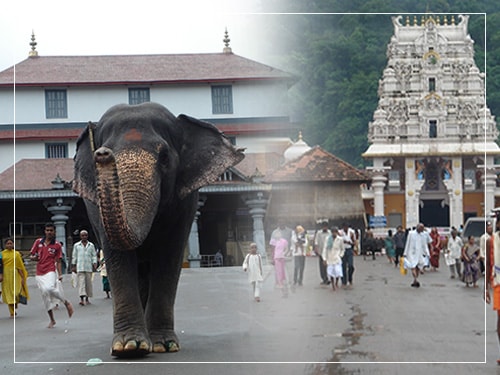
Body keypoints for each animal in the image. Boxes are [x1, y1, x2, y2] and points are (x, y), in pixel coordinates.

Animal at [73, 102, 245, 358]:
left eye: (164, 157)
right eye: (99, 155)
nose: (102, 154)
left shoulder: (186, 201)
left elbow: (169, 254)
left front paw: (164, 345)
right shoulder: (96, 206)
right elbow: (117, 256)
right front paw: (129, 347)